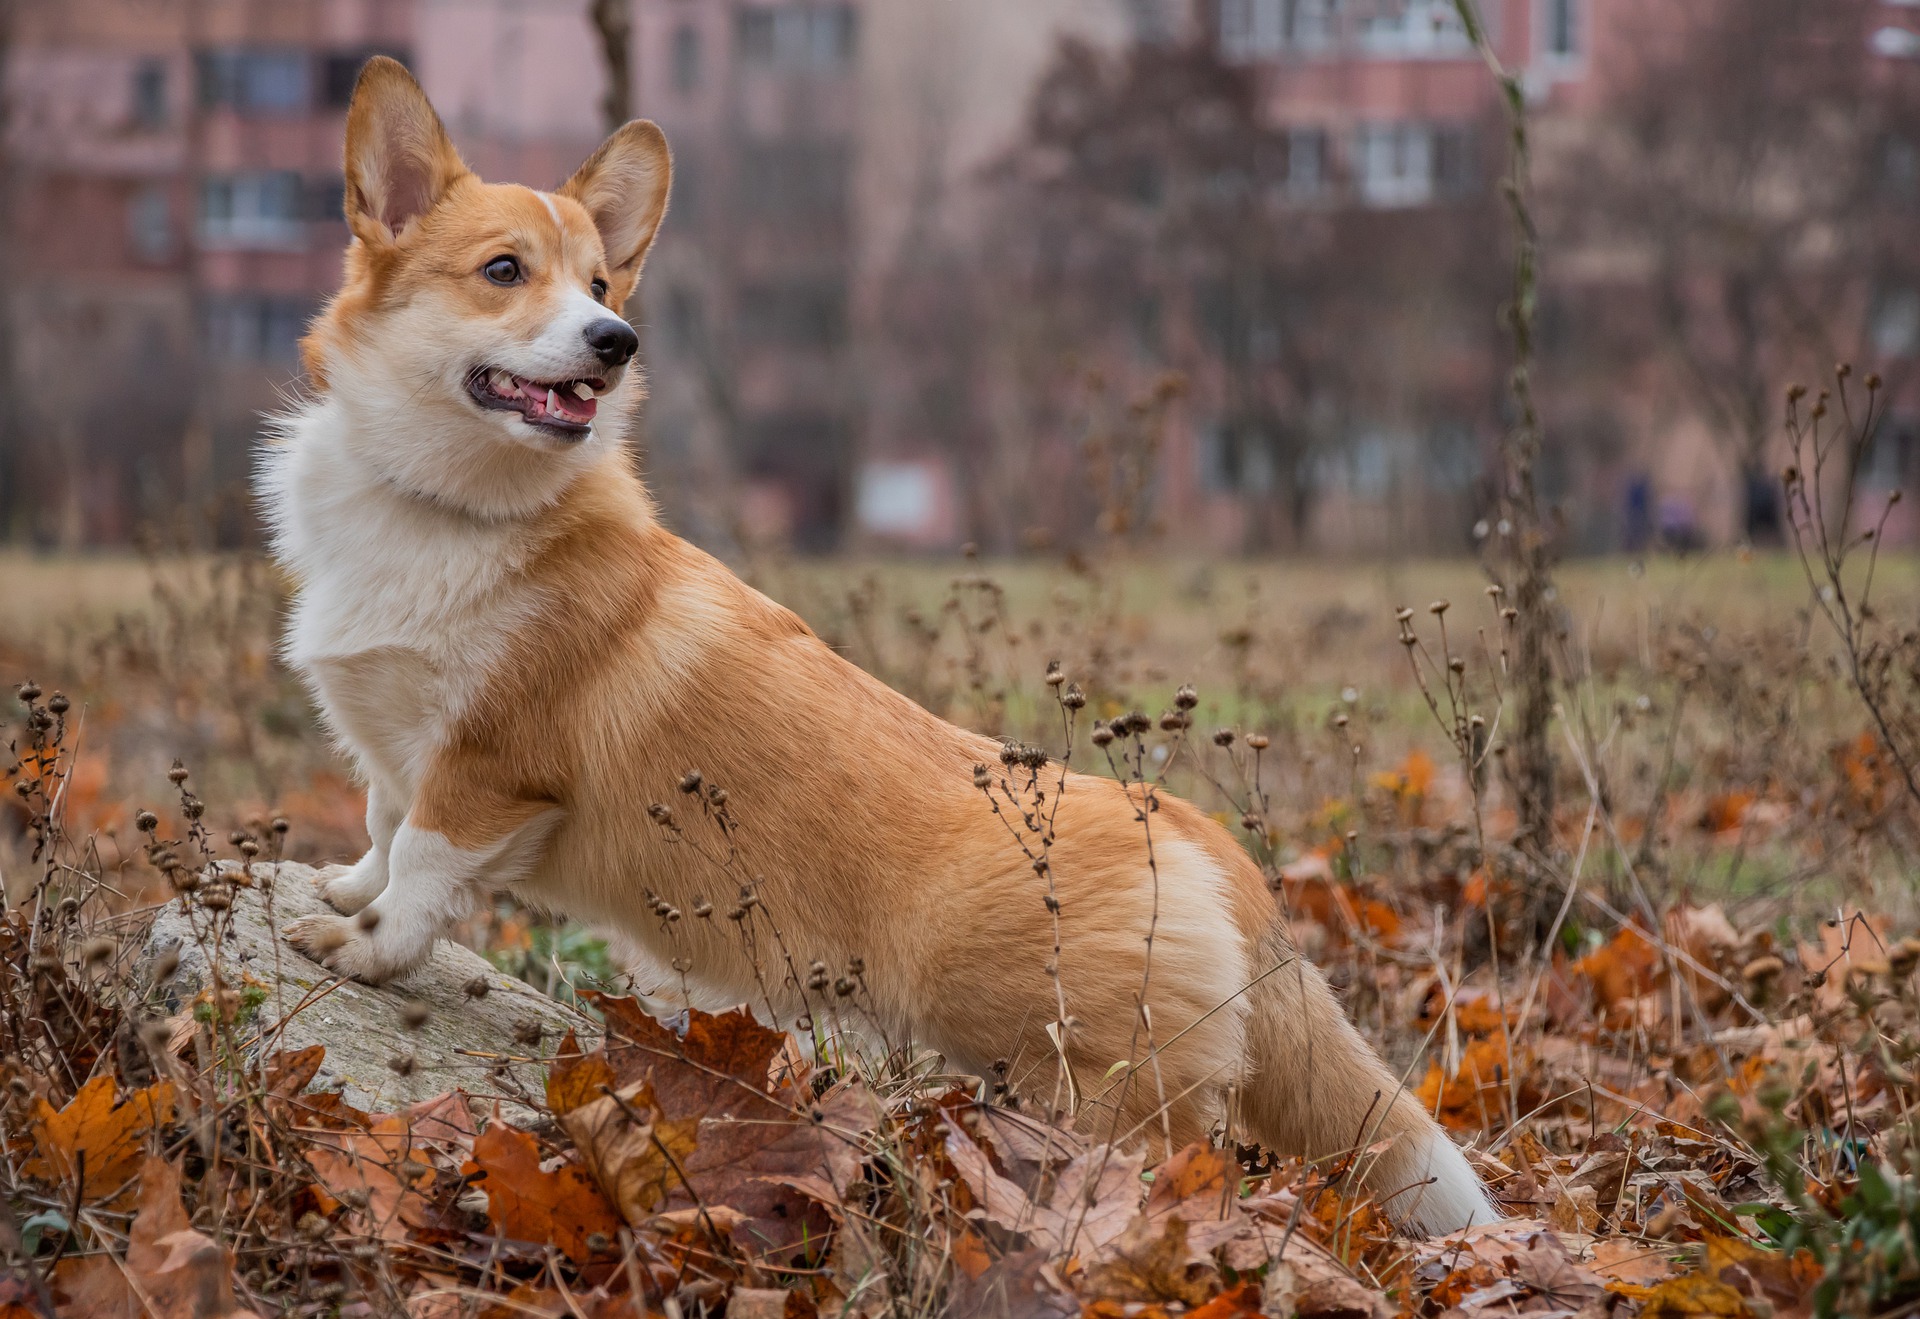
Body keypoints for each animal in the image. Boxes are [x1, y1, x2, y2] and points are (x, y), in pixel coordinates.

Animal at [263, 59, 1497, 1236]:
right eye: (506, 270)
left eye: (602, 286)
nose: (616, 342)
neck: (450, 511)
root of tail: (1203, 837)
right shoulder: (402, 752)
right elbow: (381, 828)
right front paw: (341, 890)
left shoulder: (485, 771)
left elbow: (422, 874)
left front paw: (362, 946)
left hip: (1087, 1083)